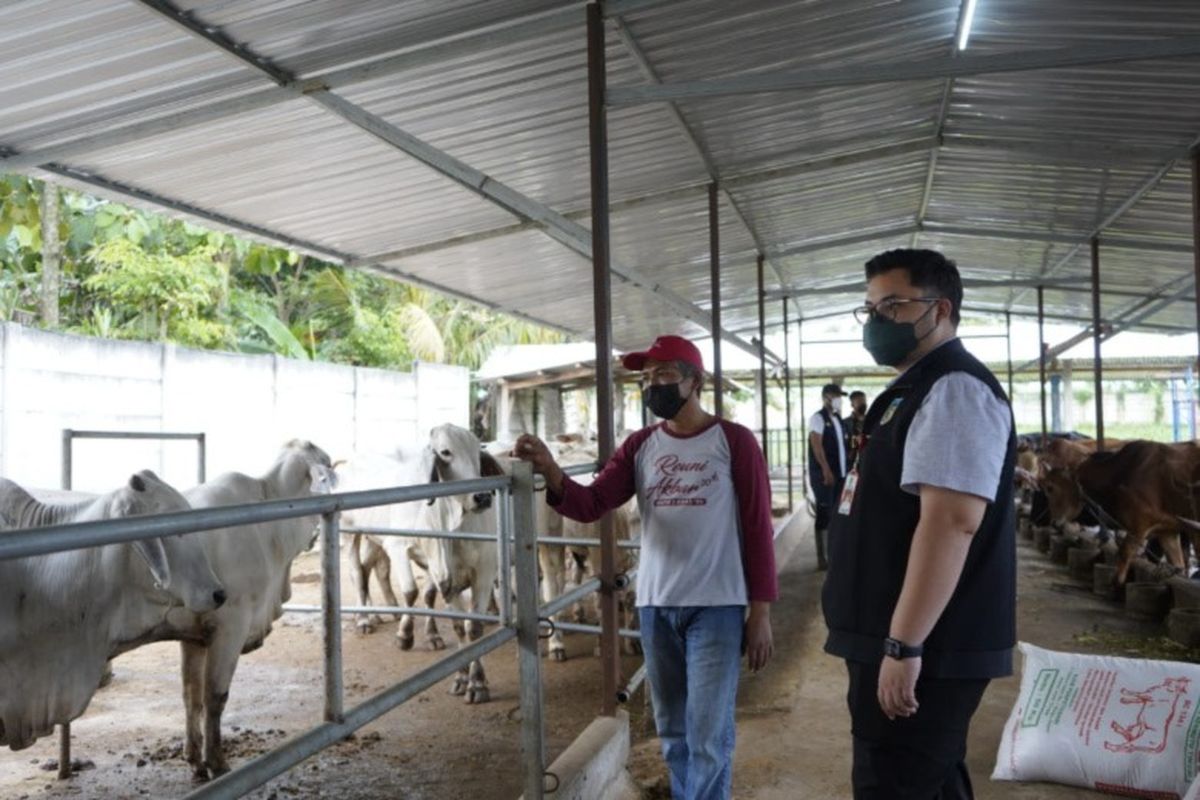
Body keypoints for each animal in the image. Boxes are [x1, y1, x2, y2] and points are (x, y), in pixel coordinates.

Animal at [171, 441, 336, 777]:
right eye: (325, 463)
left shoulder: (192, 633)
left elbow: (191, 694)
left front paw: (194, 758)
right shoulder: (231, 623)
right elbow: (215, 696)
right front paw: (216, 762)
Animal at [343, 424, 501, 700]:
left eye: (477, 453)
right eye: (445, 452)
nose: (482, 497)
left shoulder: (479, 573)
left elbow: (467, 625)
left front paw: (473, 680)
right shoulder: (400, 548)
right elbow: (412, 592)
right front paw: (405, 636)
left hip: (375, 540)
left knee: (370, 568)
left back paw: (378, 615)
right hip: (351, 532)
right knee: (357, 572)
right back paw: (364, 620)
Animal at [1041, 441, 1200, 585]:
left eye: (1050, 488)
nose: (1054, 522)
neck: (1121, 474)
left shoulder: (1138, 527)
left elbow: (1123, 555)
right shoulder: (1167, 531)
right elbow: (1177, 563)